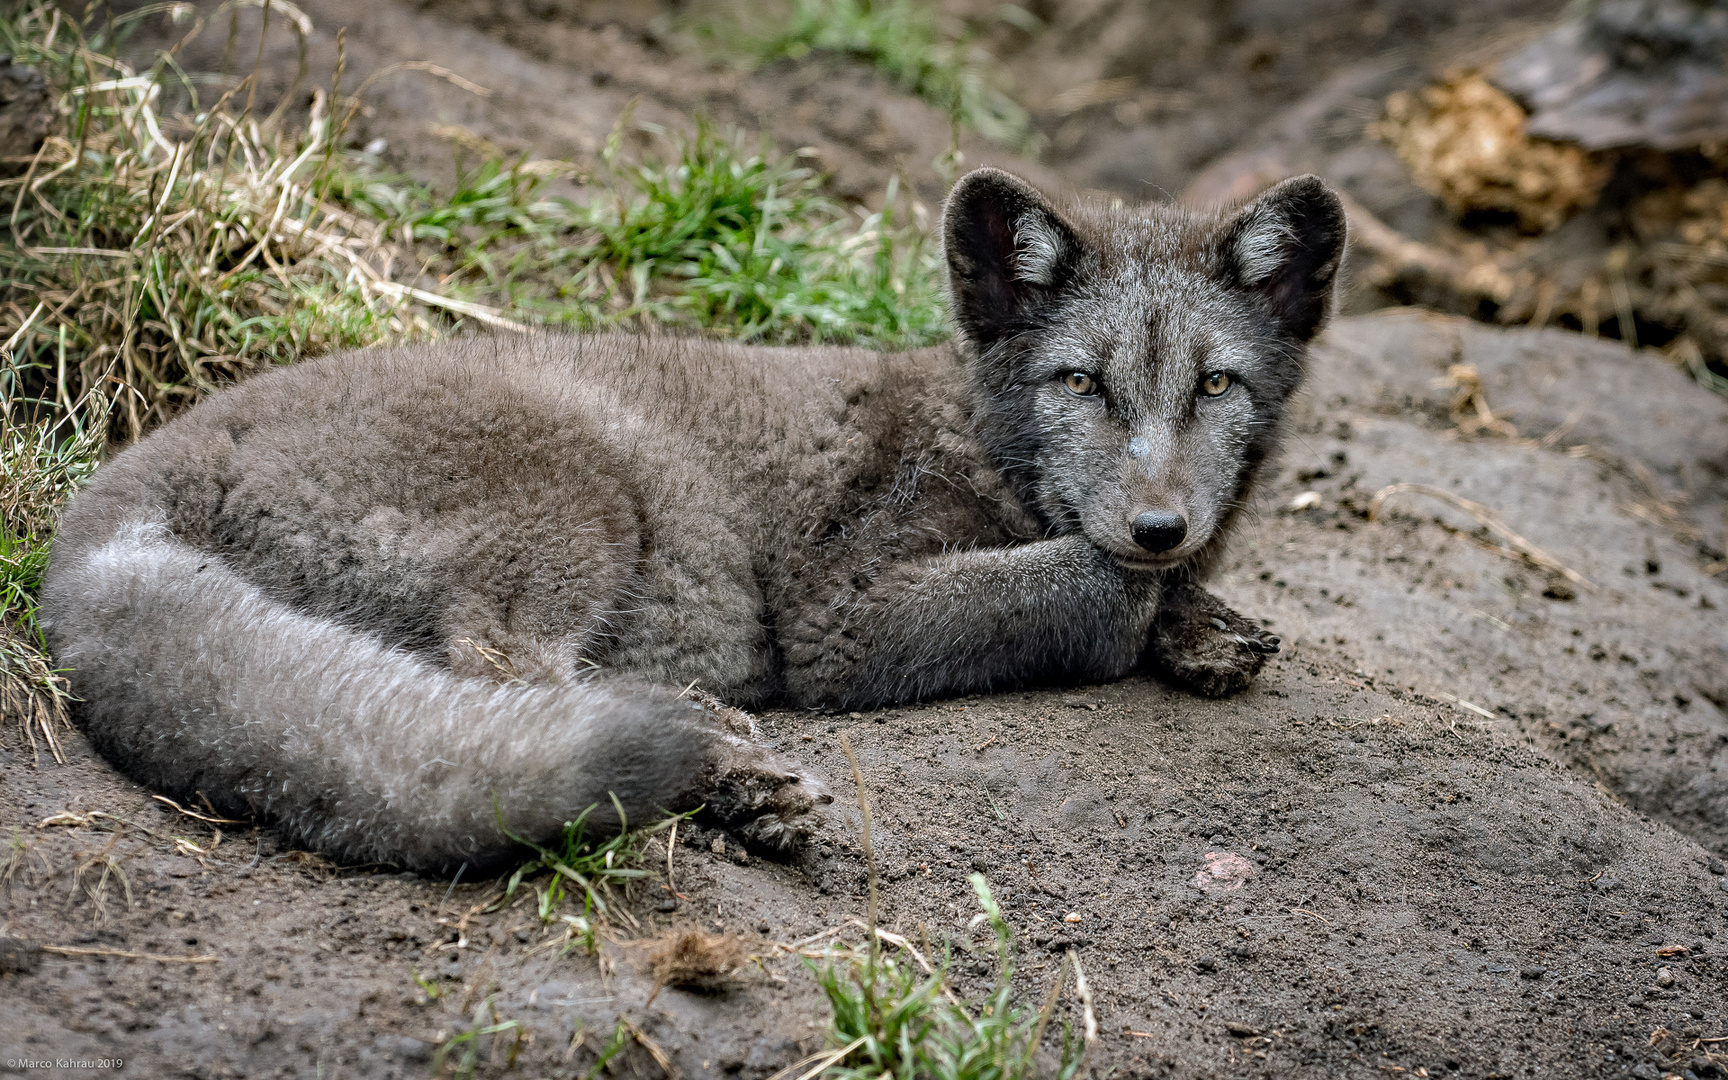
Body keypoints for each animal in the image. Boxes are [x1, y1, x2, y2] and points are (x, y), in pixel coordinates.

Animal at [33, 170, 1340, 877]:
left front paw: (1206, 619)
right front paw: (1166, 606)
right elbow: (1081, 579)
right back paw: (725, 761)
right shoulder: (845, 616)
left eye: (1215, 386)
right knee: (503, 667)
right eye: (1081, 383)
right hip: (579, 489)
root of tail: (121, 482)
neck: (975, 428)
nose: (1163, 521)